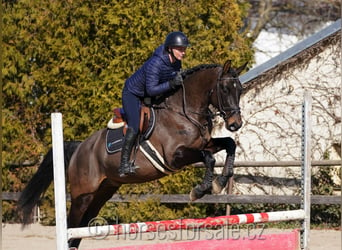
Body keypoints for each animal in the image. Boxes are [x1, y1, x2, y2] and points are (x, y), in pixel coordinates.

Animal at [17, 60, 246, 248]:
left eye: (240, 90)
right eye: (225, 89)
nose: (235, 124)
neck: (184, 111)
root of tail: (80, 147)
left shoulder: (205, 144)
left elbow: (229, 145)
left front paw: (220, 181)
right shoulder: (175, 156)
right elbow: (209, 158)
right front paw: (201, 190)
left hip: (103, 191)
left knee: (82, 227)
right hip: (83, 194)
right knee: (72, 226)